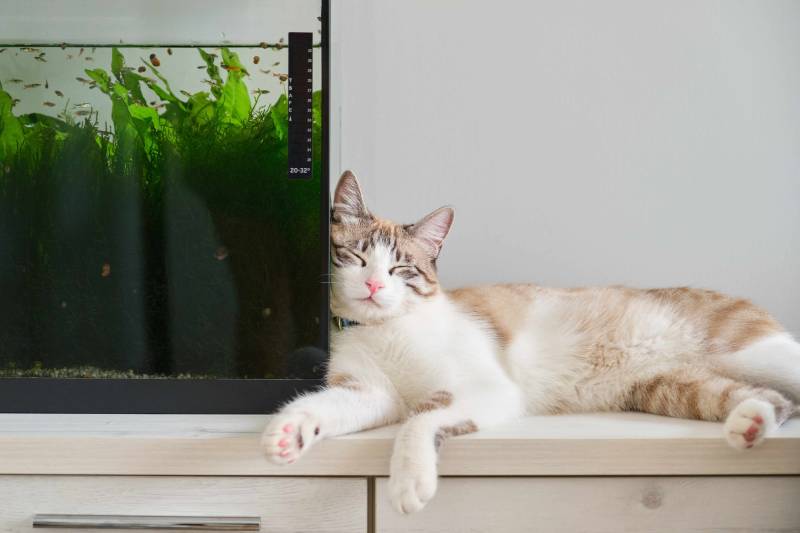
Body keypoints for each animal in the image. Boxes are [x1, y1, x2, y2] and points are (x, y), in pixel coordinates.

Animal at [262, 169, 800, 512]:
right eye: (355, 257)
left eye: (401, 269)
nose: (374, 285)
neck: (386, 328)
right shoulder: (369, 392)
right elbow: (329, 405)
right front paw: (289, 431)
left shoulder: (485, 387)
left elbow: (418, 420)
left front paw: (409, 480)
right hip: (672, 387)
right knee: (772, 400)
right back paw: (749, 425)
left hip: (753, 350)